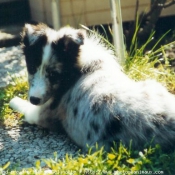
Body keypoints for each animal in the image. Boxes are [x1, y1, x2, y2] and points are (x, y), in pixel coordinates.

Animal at [9, 23, 175, 152]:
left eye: (54, 74)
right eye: (31, 68)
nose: (34, 99)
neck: (78, 69)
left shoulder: (41, 113)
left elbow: (24, 107)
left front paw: (13, 100)